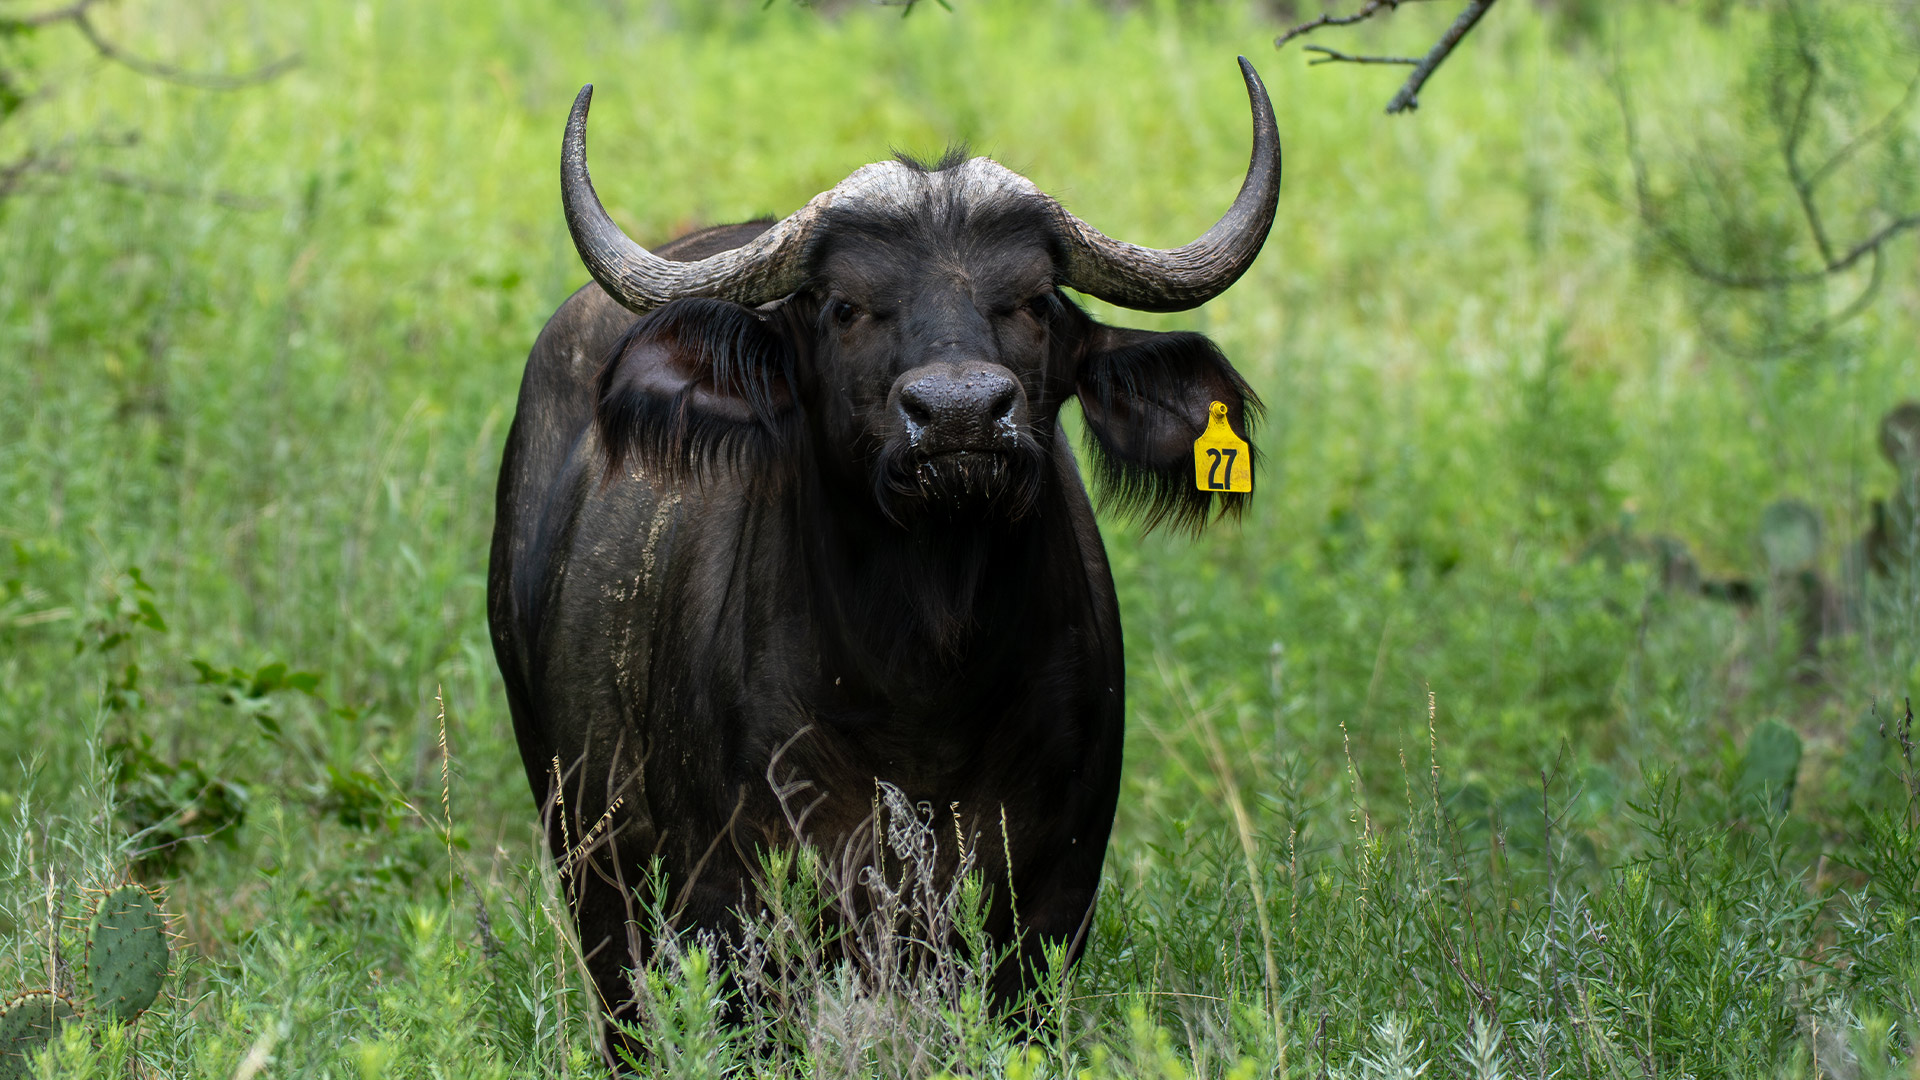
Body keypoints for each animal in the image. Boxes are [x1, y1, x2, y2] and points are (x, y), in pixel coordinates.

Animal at [487, 58, 1279, 1053]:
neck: (926, 684)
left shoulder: (1049, 909)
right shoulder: (738, 908)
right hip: (590, 868)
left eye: (1031, 302)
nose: (959, 415)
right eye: (847, 307)